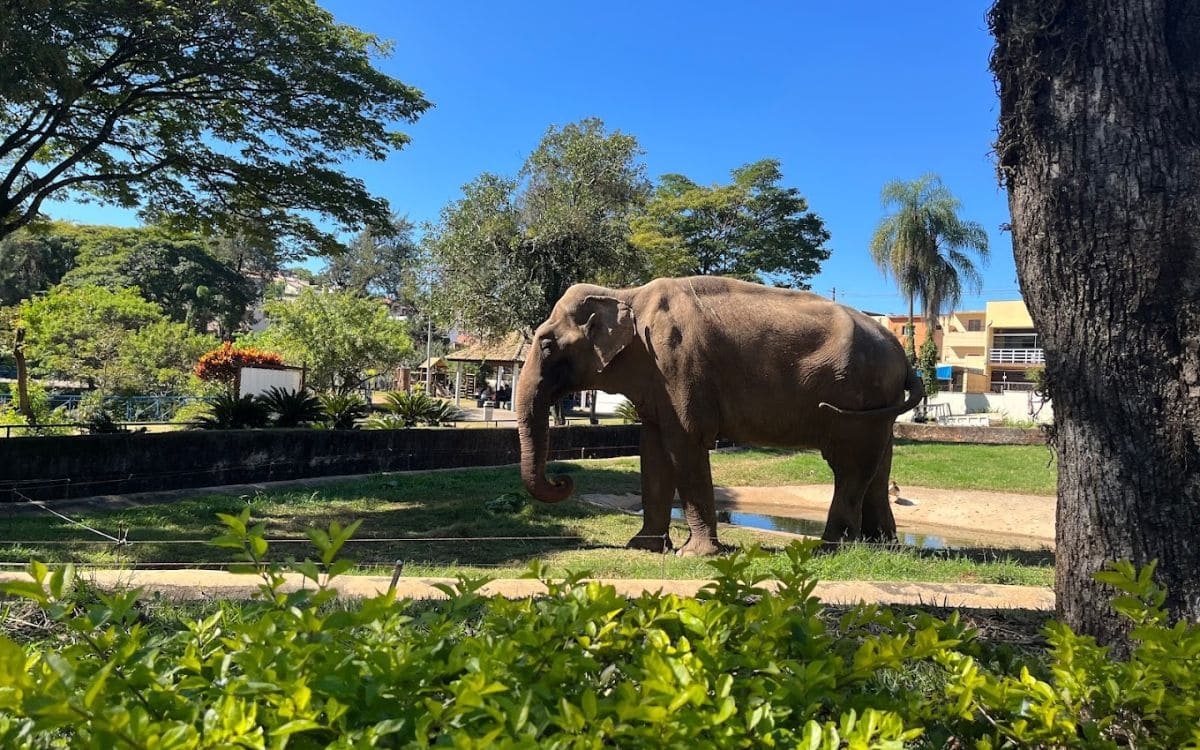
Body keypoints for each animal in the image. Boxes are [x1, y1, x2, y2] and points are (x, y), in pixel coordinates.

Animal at [513, 276, 916, 556]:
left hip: (858, 397)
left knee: (848, 467)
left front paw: (695, 554)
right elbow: (652, 451)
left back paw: (829, 549)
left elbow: (684, 445)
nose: (564, 480)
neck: (627, 294)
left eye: (546, 344)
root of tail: (903, 356)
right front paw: (642, 547)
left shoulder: (677, 364)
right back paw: (884, 548)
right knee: (878, 468)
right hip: (879, 402)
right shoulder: (658, 380)